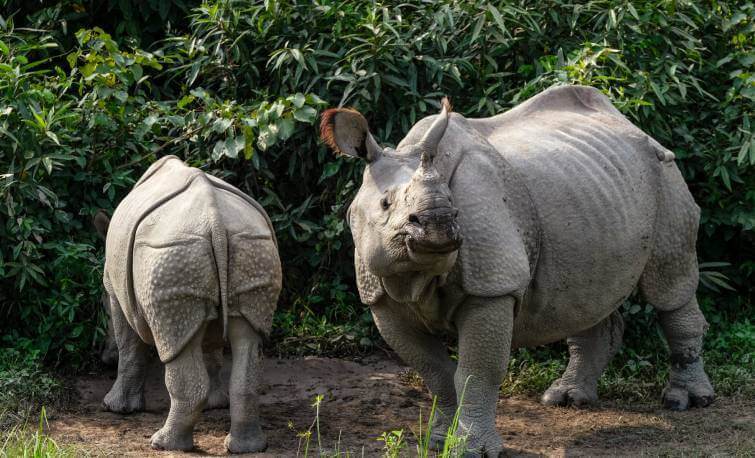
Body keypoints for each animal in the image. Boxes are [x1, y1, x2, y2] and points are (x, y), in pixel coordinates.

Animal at [94, 156, 282, 452]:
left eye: (103, 311)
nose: (104, 358)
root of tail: (215, 221)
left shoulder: (114, 292)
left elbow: (128, 345)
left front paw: (116, 407)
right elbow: (211, 349)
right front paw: (217, 404)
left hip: (170, 253)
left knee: (174, 341)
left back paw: (162, 444)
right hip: (251, 247)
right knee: (248, 337)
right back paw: (247, 447)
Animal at [320, 85, 716, 454]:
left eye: (453, 202)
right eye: (385, 204)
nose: (440, 223)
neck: (415, 276)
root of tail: (630, 123)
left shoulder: (492, 286)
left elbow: (476, 371)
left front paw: (471, 450)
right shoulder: (381, 298)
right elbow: (434, 371)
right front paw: (439, 440)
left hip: (664, 173)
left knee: (669, 286)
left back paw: (686, 402)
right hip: (594, 191)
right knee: (586, 296)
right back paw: (567, 398)